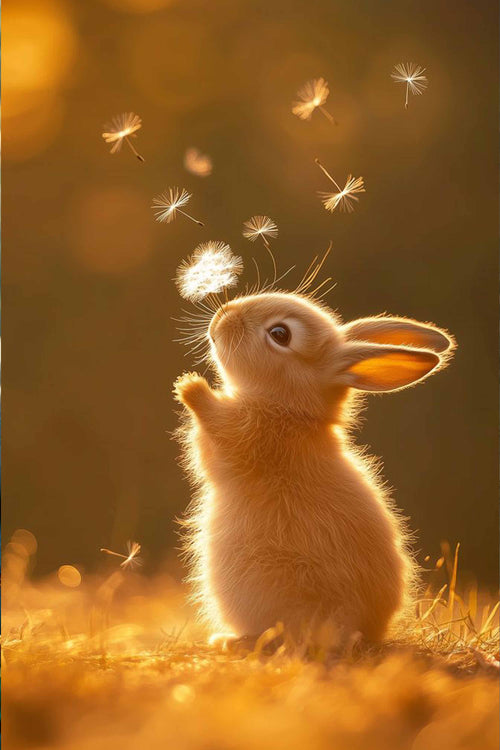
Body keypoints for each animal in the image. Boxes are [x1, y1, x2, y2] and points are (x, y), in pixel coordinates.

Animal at [174, 291, 455, 644]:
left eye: (280, 334)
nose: (222, 316)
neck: (291, 408)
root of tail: (355, 629)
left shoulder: (243, 438)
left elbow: (214, 429)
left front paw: (190, 386)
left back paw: (231, 640)